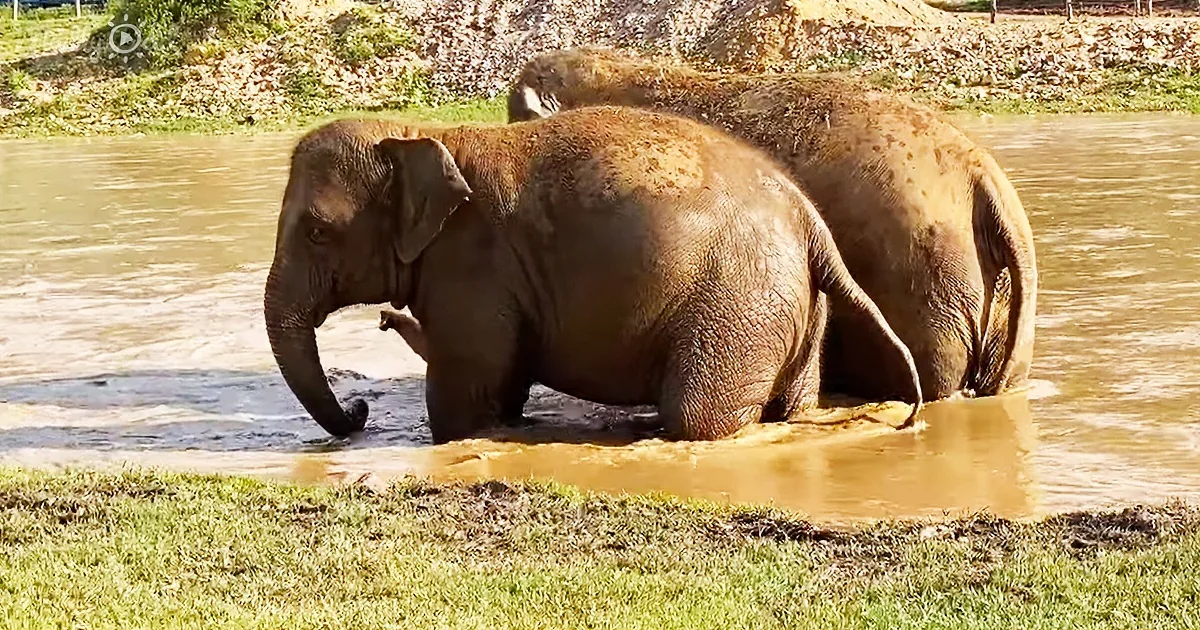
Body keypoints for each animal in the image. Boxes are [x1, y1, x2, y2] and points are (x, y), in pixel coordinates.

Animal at [264, 106, 923, 443]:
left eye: (316, 231)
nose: (359, 411)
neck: (422, 134)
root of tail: (812, 225)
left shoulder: (472, 265)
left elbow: (467, 384)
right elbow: (500, 378)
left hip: (740, 306)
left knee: (700, 417)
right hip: (796, 310)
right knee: (791, 404)